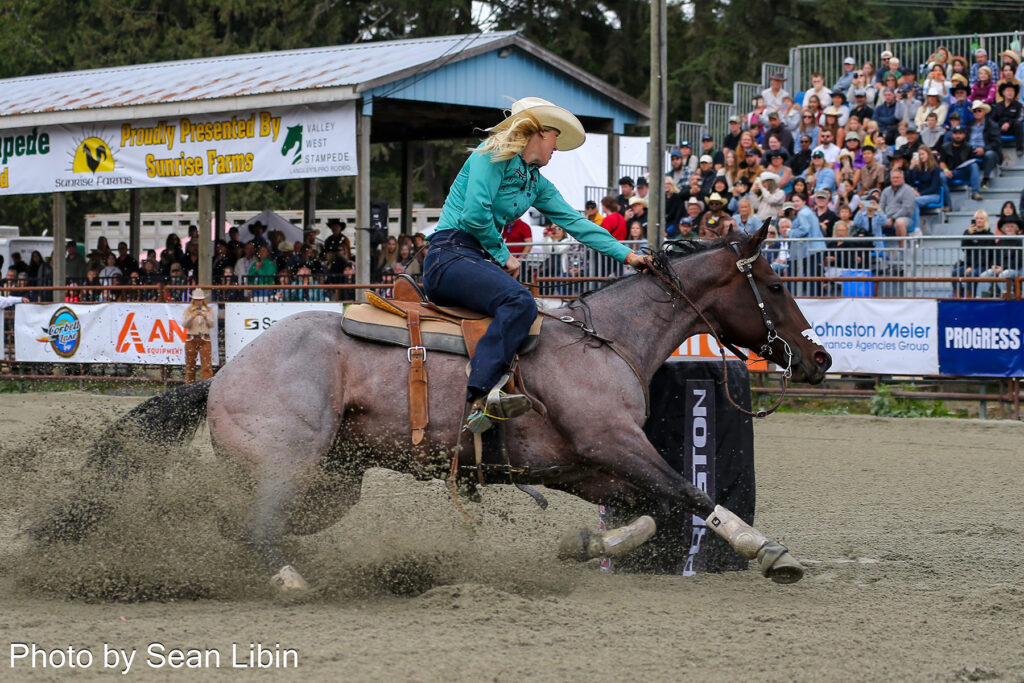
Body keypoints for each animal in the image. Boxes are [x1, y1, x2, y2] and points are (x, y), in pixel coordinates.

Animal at [31, 222, 831, 590]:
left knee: (233, 524)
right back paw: (292, 583)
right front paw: (769, 551)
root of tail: (222, 375)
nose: (819, 359)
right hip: (294, 464)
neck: (603, 338)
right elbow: (687, 493)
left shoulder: (581, 465)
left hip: (333, 482)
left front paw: (582, 545)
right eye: (775, 285)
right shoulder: (612, 441)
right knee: (255, 527)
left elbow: (651, 510)